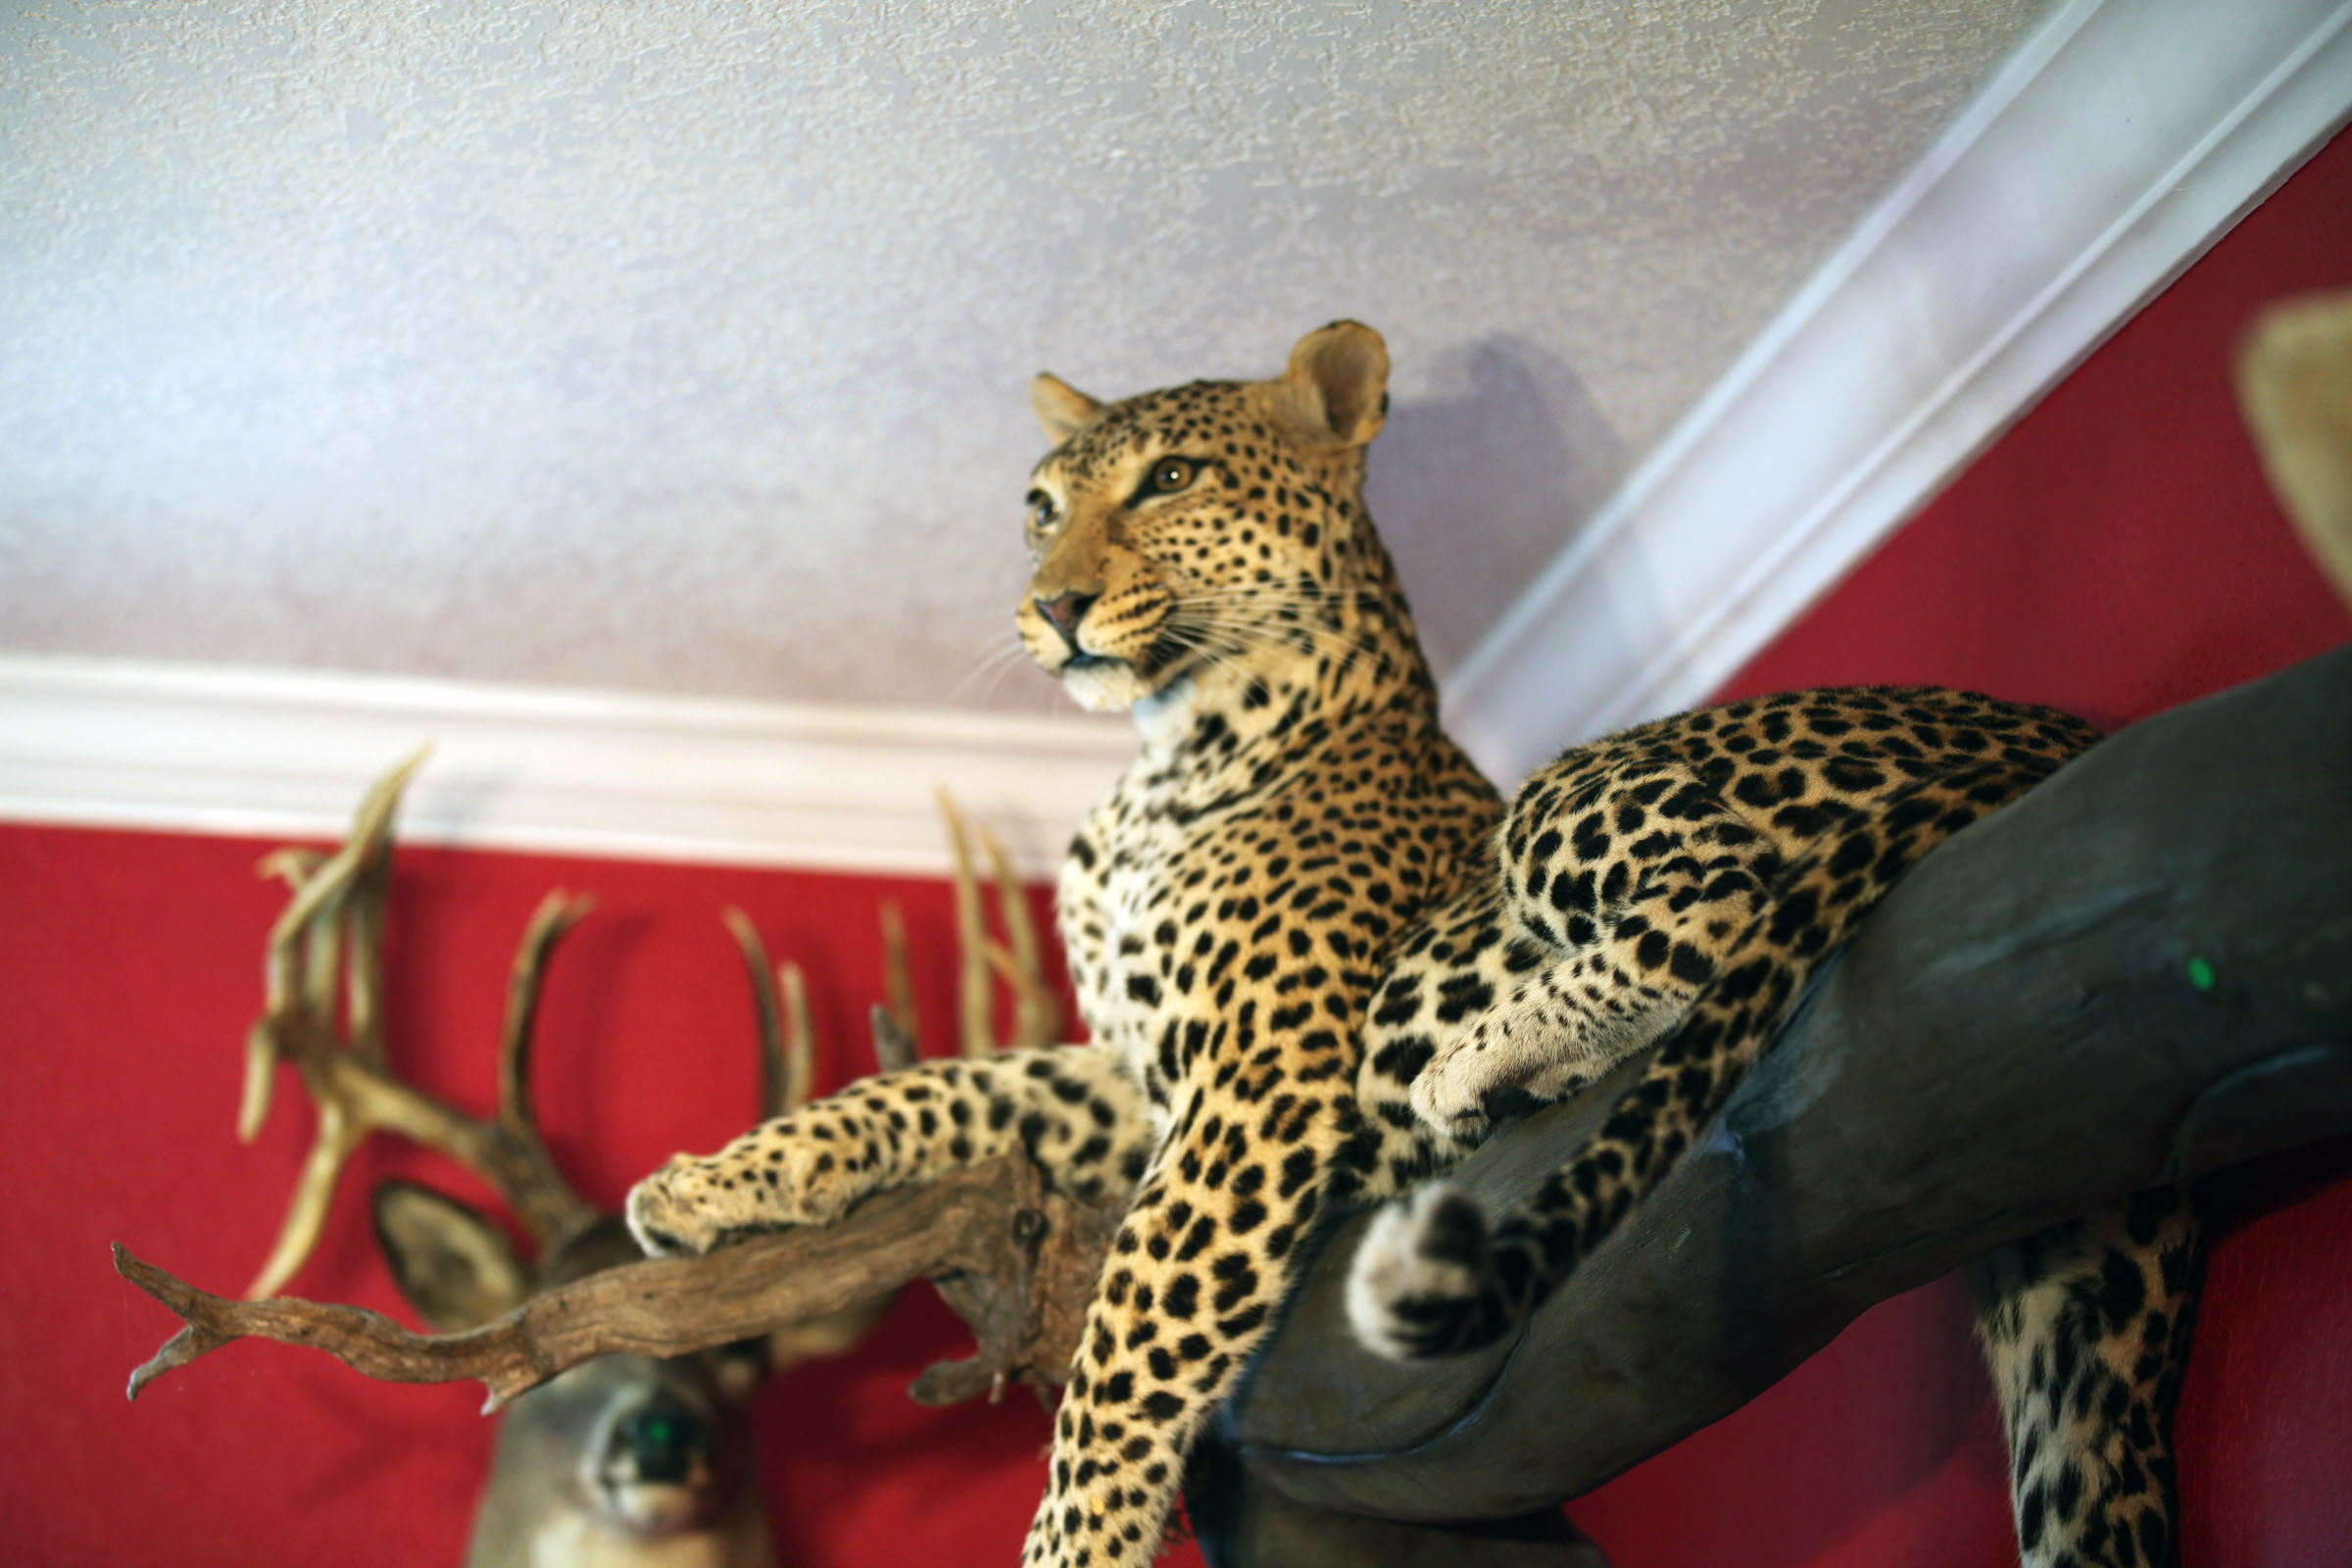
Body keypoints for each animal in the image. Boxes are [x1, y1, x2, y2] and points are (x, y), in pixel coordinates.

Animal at [625, 321, 2200, 1568]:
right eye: (1038, 506)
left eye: (1171, 481)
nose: (1050, 604)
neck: (1155, 759)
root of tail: (2060, 735)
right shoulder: (1135, 1078)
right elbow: (942, 1088)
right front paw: (718, 1183)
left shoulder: (1254, 1080)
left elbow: (1126, 1336)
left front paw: (1074, 1544)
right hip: (2073, 1330)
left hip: (1590, 784)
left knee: (1723, 896)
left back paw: (1488, 1060)